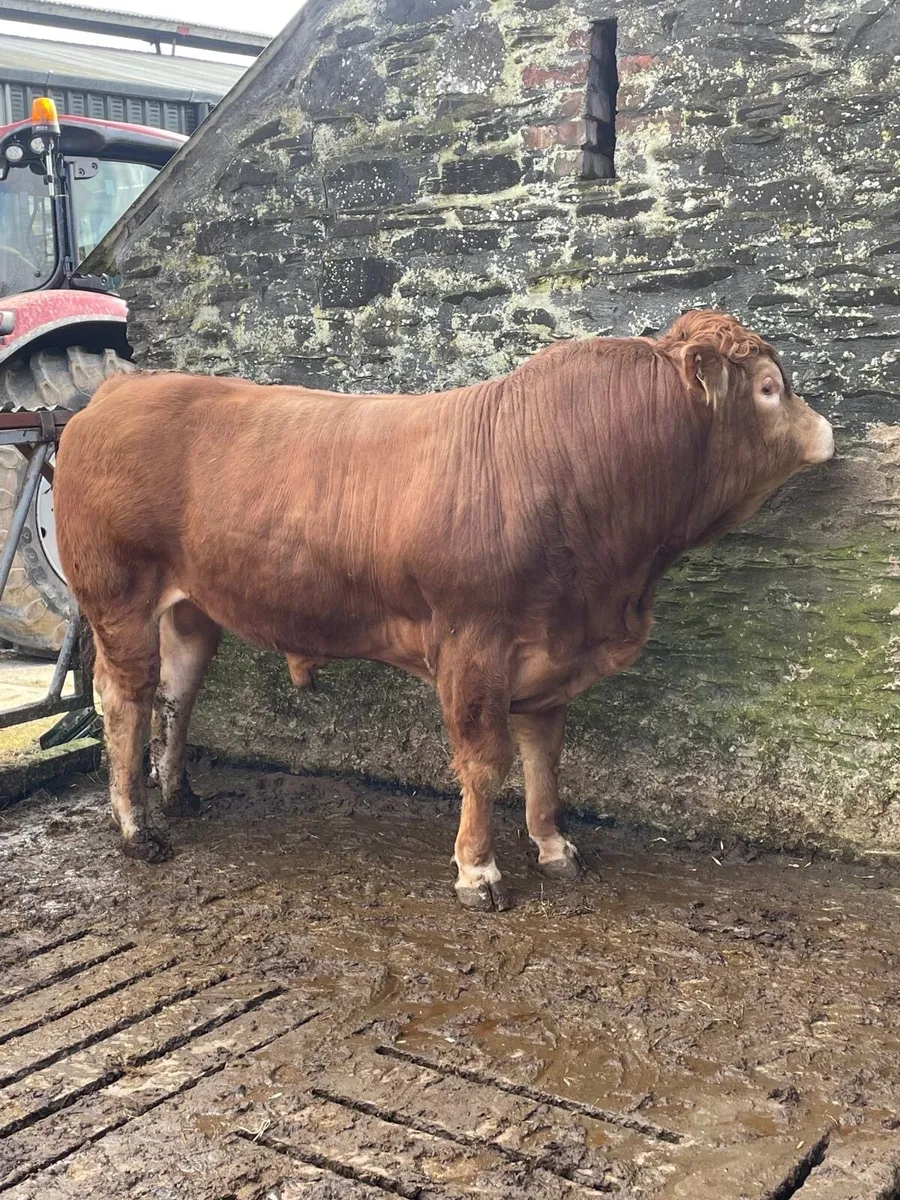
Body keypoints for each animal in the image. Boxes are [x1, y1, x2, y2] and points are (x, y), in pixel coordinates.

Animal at [54, 310, 834, 912]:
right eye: (770, 389)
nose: (828, 430)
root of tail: (118, 391)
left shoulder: (552, 658)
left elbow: (545, 761)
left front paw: (554, 847)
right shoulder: (473, 648)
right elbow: (485, 763)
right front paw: (478, 871)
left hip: (191, 610)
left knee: (175, 696)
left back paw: (178, 794)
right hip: (118, 597)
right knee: (124, 700)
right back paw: (138, 829)